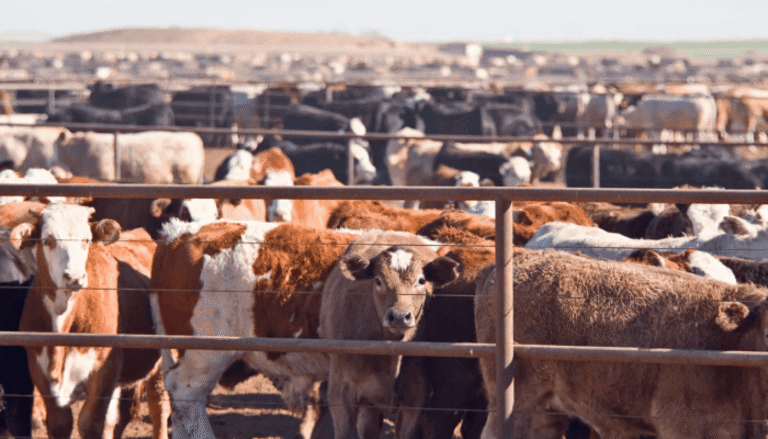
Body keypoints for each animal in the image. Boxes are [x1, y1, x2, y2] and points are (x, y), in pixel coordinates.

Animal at [16, 203, 169, 439]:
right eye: (48, 240)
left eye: (86, 240)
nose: (75, 277)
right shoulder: (38, 367)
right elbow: (61, 423)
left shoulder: (104, 367)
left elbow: (90, 423)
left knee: (158, 405)